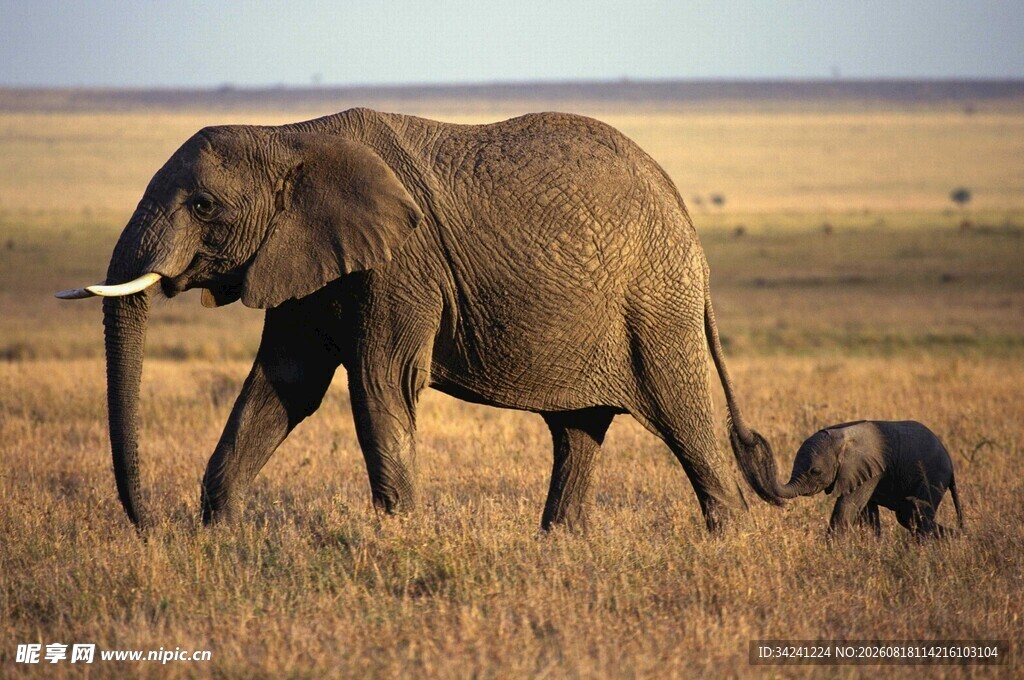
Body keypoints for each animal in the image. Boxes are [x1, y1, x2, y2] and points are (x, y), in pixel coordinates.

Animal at [56, 107, 786, 532]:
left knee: (682, 415)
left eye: (203, 206)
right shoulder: (303, 257)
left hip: (655, 304)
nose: (150, 525)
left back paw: (728, 543)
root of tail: (681, 206)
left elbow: (379, 384)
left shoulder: (402, 263)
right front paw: (221, 539)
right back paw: (559, 547)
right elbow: (284, 384)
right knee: (577, 431)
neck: (289, 135)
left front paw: (399, 540)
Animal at [779, 420, 963, 537]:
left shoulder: (866, 469)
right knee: (909, 516)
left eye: (815, 471)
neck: (841, 437)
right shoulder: (865, 473)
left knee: (916, 515)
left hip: (933, 476)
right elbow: (867, 512)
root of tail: (950, 461)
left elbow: (847, 507)